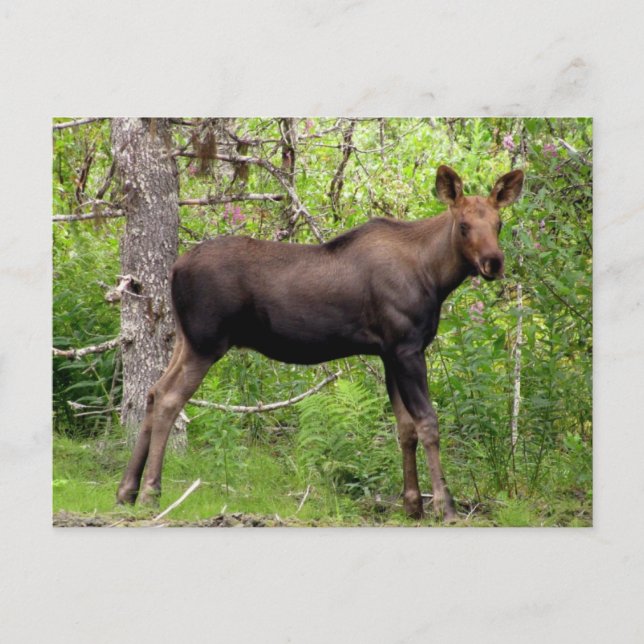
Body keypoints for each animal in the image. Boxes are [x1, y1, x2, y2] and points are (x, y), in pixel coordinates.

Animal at [117, 165, 524, 521]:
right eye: (464, 225)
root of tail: (174, 270)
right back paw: (151, 492)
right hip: (206, 343)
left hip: (186, 340)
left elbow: (404, 427)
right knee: (169, 399)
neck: (434, 277)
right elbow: (428, 423)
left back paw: (126, 490)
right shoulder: (407, 347)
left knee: (152, 391)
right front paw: (445, 507)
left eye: (499, 224)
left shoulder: (389, 351)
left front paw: (412, 505)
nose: (494, 262)